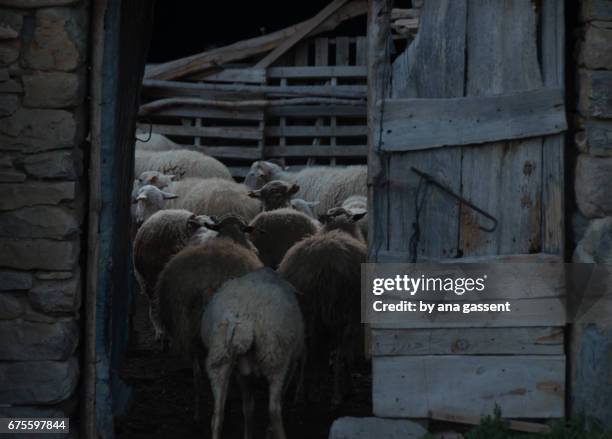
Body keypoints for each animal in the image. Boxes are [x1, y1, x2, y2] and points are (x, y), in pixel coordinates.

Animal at [202, 268, 304, 439]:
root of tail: (244, 317)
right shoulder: (292, 365)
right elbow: (279, 399)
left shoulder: (242, 375)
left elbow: (248, 408)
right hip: (275, 359)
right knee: (274, 410)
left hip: (219, 359)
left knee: (217, 416)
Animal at [278, 222, 368, 408]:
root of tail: (324, 265)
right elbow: (346, 357)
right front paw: (350, 388)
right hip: (343, 311)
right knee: (339, 354)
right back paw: (336, 397)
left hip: (306, 310)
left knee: (305, 351)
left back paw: (300, 394)